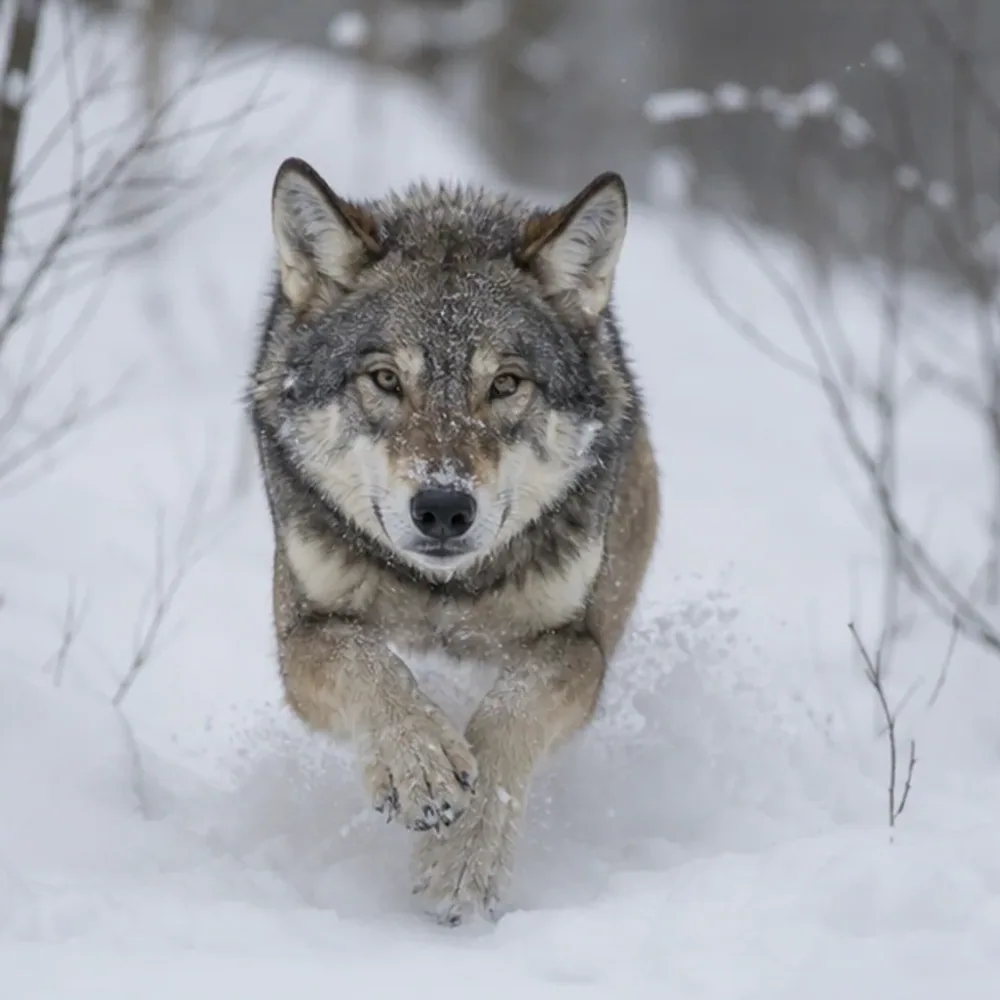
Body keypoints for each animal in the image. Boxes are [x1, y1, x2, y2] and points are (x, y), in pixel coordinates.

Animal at [247, 157, 660, 924]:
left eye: (505, 384)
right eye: (385, 379)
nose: (443, 508)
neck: (442, 594)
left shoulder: (579, 645)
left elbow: (508, 713)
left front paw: (463, 861)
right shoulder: (306, 630)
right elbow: (371, 665)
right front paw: (421, 764)